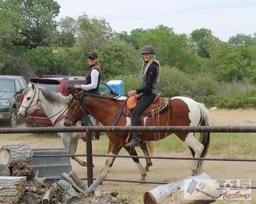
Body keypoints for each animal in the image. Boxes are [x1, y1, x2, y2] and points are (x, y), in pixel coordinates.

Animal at [63, 92, 210, 183]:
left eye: (72, 105)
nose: (66, 123)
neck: (113, 112)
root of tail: (196, 104)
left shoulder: (117, 141)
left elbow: (112, 159)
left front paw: (101, 178)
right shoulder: (121, 142)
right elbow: (128, 157)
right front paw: (142, 175)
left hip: (185, 134)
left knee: (199, 148)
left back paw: (194, 171)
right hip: (188, 134)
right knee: (196, 151)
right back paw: (198, 173)